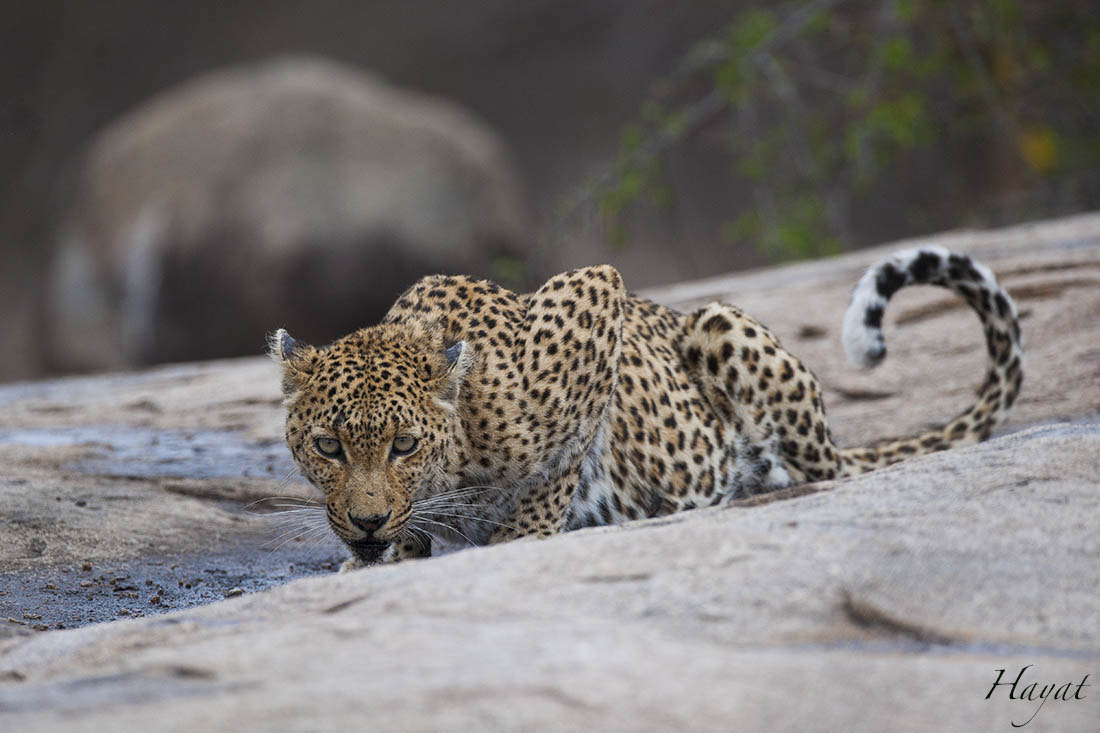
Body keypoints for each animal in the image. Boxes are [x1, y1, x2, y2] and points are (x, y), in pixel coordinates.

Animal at [272, 246, 1020, 572]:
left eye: (404, 445)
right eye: (329, 446)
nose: (368, 522)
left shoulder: (595, 294)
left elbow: (560, 465)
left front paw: (528, 527)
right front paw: (385, 550)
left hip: (723, 327)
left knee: (817, 469)